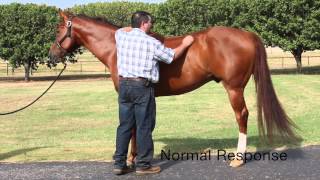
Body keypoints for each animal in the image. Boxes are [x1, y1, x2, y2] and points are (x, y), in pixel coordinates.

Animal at [48, 11, 298, 167]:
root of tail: (247, 34)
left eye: (59, 29)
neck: (116, 47)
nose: (52, 54)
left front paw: (131, 160)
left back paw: (238, 158)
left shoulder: (129, 97)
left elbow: (131, 128)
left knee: (242, 115)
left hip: (234, 88)